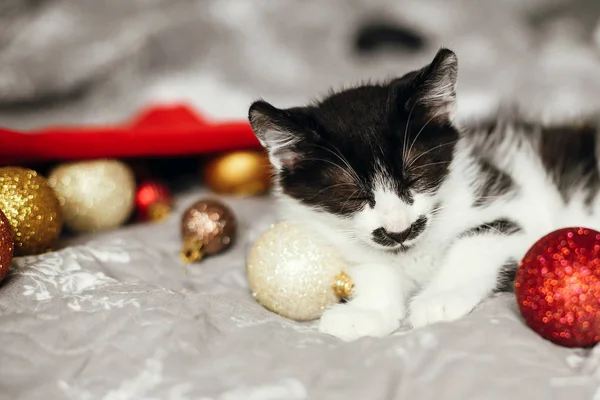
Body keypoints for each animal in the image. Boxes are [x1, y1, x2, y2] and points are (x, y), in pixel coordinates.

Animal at [246, 47, 596, 340]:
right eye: (352, 195)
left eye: (415, 177)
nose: (399, 230)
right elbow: (373, 266)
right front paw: (365, 311)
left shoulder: (512, 200)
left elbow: (478, 238)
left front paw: (439, 298)